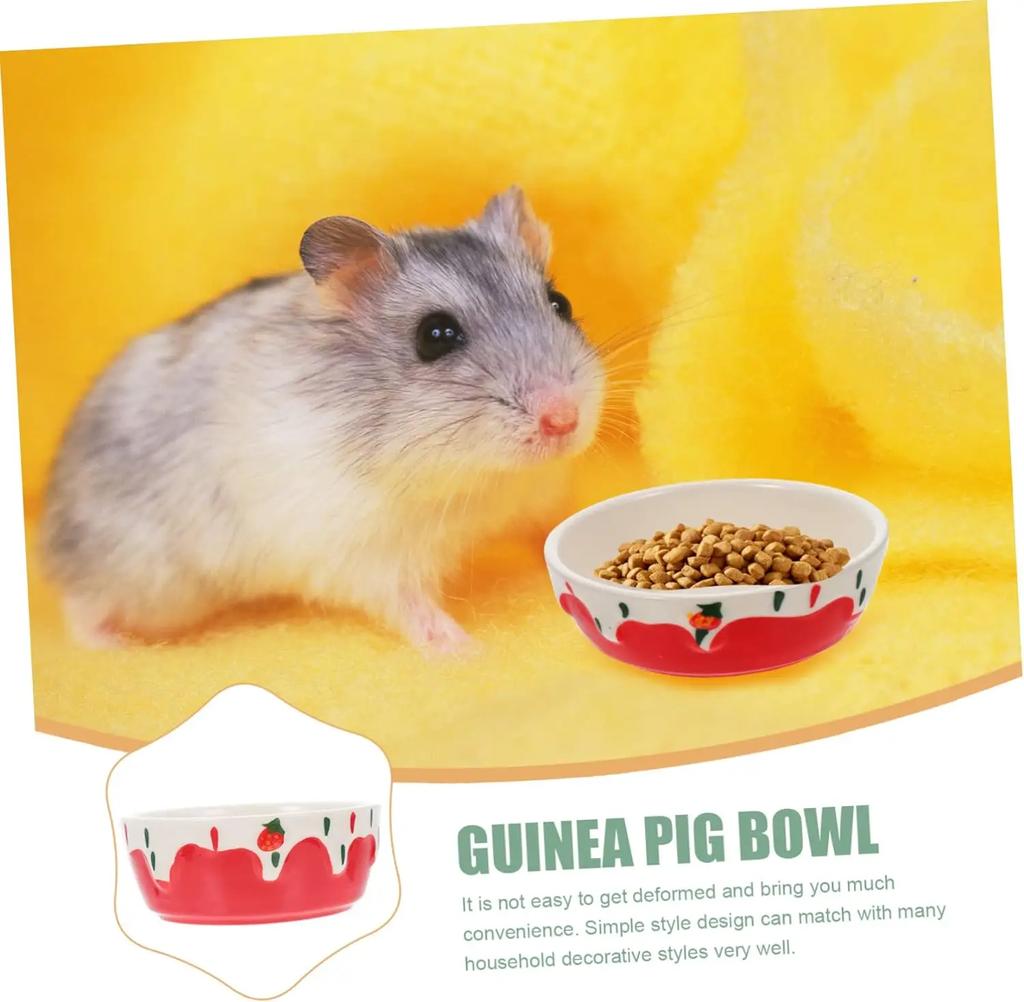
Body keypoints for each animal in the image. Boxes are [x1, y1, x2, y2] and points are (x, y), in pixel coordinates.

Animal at [40, 187, 605, 652]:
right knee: (79, 604)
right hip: (140, 576)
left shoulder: (536, 495)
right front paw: (467, 653)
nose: (563, 420)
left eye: (560, 302)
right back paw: (110, 647)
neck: (481, 477)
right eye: (435, 336)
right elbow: (410, 606)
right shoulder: (367, 553)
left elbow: (549, 526)